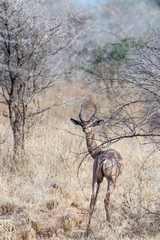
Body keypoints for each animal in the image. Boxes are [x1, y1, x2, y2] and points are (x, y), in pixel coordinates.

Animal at [70, 104, 124, 234]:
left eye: (89, 124)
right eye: (82, 123)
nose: (84, 129)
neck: (100, 152)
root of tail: (103, 158)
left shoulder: (99, 179)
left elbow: (94, 199)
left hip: (95, 179)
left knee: (91, 199)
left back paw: (87, 229)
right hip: (111, 181)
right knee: (106, 199)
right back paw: (110, 225)